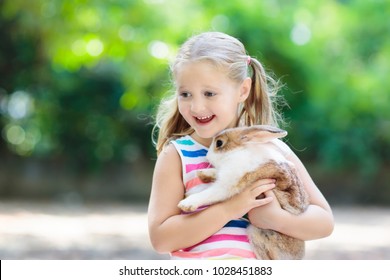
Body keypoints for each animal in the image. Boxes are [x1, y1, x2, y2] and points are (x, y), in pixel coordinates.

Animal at [177, 125, 308, 260]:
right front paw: (202, 174)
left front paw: (186, 204)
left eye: (219, 143)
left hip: (256, 232)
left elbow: (209, 193)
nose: (208, 156)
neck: (237, 152)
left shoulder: (227, 184)